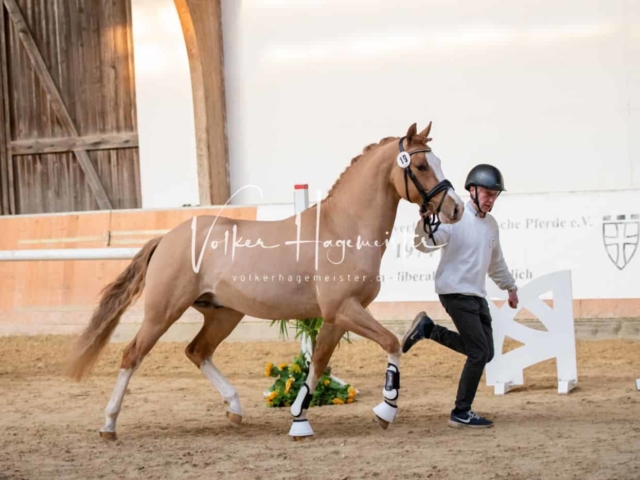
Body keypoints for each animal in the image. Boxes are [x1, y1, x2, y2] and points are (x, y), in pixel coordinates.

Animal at [67, 121, 462, 438]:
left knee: (197, 351)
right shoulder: (344, 309)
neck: (343, 229)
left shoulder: (338, 316)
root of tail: (166, 238)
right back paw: (109, 425)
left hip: (223, 313)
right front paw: (385, 410)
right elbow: (392, 343)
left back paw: (235, 408)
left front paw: (299, 419)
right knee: (132, 355)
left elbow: (318, 363)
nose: (456, 209)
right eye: (421, 165)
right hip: (162, 312)